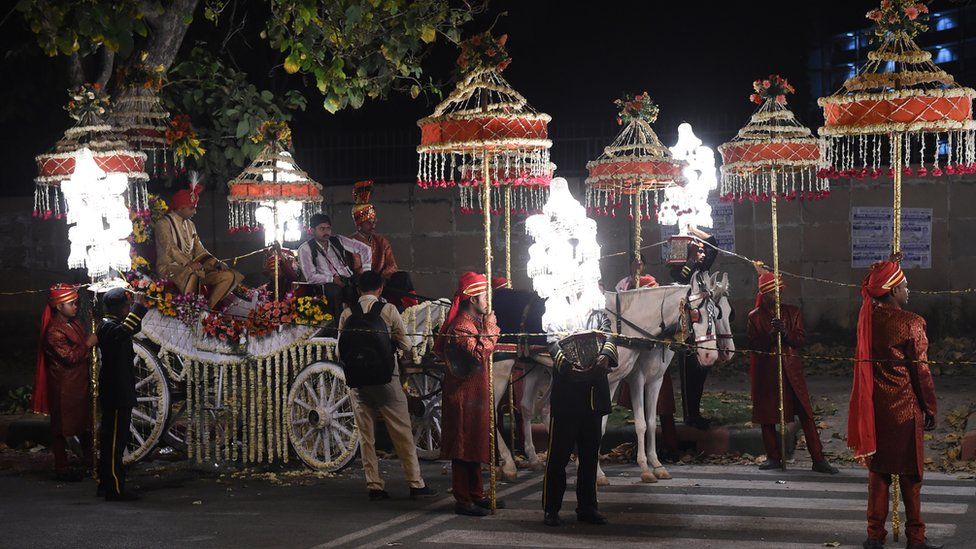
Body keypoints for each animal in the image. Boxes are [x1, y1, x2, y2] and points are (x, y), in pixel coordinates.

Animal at [600, 274, 720, 484]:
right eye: (696, 314)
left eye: (716, 315)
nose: (710, 356)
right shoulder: (635, 379)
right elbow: (639, 423)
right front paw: (643, 468)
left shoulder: (652, 381)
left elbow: (649, 422)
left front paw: (655, 465)